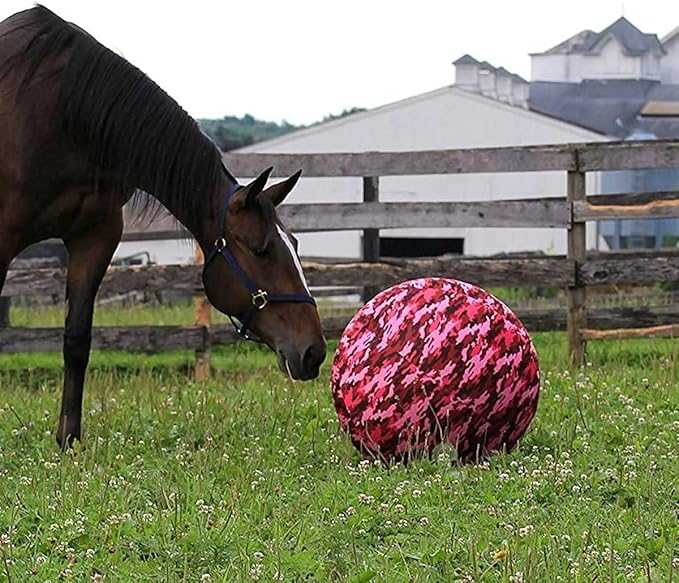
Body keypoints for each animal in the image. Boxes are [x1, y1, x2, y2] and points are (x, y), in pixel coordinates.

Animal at [0, 6, 326, 448]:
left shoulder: (95, 236)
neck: (61, 113)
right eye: (261, 249)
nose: (314, 352)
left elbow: (77, 340)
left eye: (294, 243)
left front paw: (68, 440)